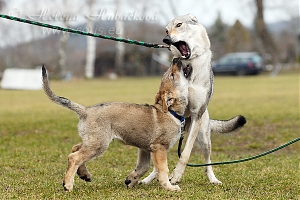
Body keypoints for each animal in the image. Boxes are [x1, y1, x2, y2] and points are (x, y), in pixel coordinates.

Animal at [41, 58, 188, 192]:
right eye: (172, 75)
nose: (176, 59)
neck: (171, 112)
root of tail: (85, 110)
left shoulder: (145, 148)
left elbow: (143, 167)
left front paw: (130, 180)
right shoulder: (159, 148)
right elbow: (162, 170)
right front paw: (169, 187)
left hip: (93, 140)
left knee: (75, 148)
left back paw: (84, 174)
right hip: (99, 144)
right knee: (74, 157)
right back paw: (68, 184)